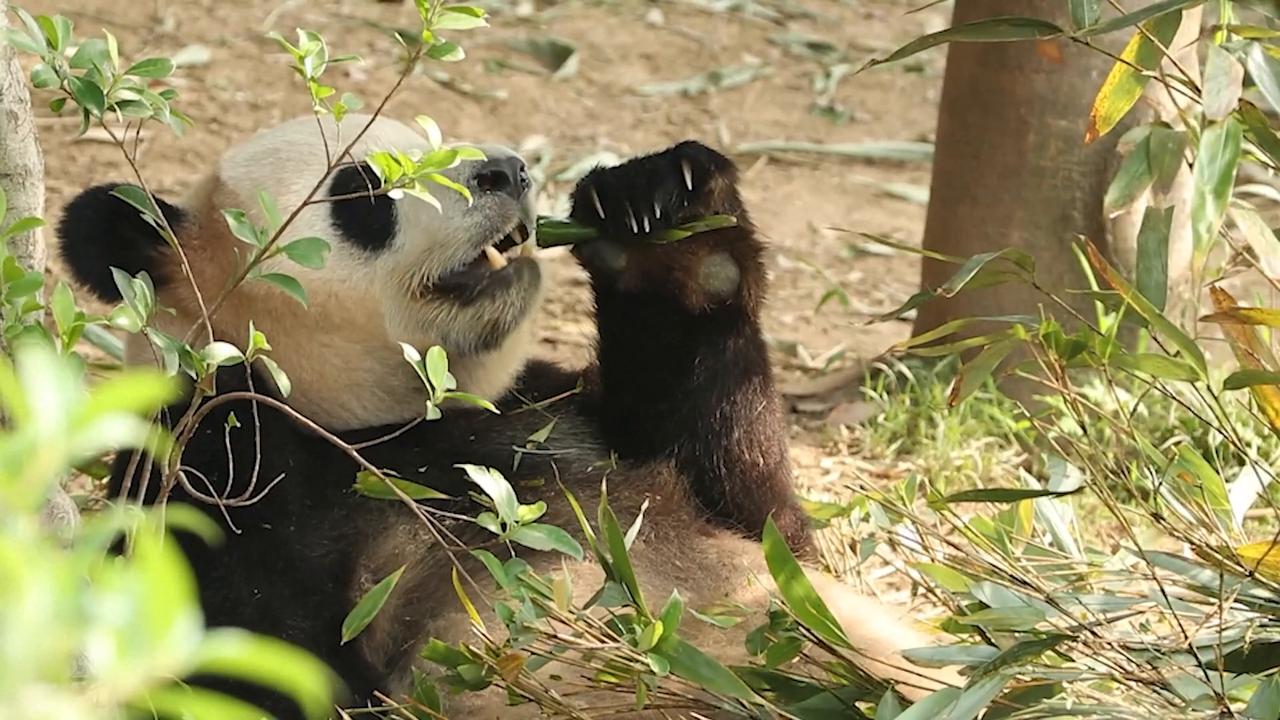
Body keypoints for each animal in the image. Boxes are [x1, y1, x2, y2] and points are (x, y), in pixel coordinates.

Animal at [57, 114, 961, 718]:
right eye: (364, 188)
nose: (507, 171)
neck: (375, 418)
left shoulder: (558, 409)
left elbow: (775, 531)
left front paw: (667, 225)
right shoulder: (215, 485)